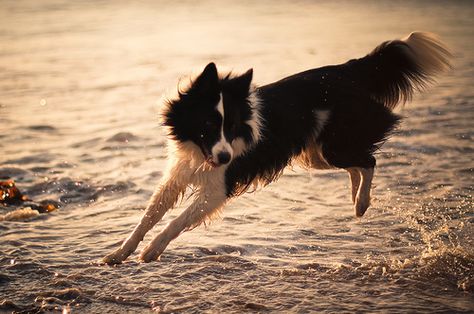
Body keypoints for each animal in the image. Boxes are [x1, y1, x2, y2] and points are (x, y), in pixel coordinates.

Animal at [103, 31, 452, 264]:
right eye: (208, 126)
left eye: (231, 128)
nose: (225, 157)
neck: (201, 152)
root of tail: (347, 69)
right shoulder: (179, 172)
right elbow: (148, 215)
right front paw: (119, 253)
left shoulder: (218, 187)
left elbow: (176, 221)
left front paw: (152, 250)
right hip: (317, 153)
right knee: (358, 164)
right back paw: (357, 200)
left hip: (332, 145)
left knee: (369, 160)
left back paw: (362, 203)